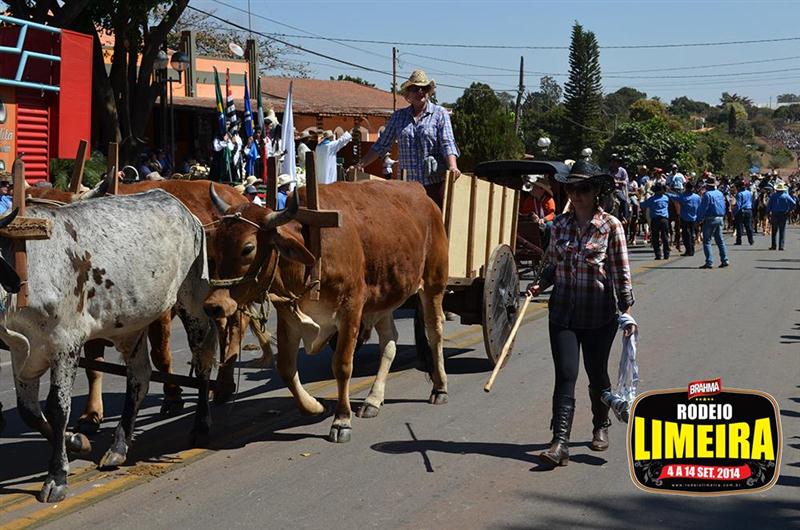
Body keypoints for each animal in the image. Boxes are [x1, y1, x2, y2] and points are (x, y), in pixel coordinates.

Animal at [1, 190, 217, 502]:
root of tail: (177, 203)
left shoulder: (66, 344)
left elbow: (57, 409)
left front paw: (57, 476)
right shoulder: (23, 352)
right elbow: (29, 412)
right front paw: (77, 441)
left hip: (192, 300)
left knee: (203, 355)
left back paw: (201, 425)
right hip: (133, 326)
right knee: (140, 378)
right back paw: (119, 447)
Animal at [203, 179, 449, 443]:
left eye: (248, 248)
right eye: (215, 245)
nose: (213, 305)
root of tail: (422, 193)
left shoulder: (351, 310)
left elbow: (342, 366)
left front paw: (342, 420)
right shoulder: (288, 318)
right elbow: (286, 369)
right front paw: (315, 406)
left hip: (433, 283)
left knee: (435, 332)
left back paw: (440, 388)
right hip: (384, 297)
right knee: (389, 342)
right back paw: (373, 400)